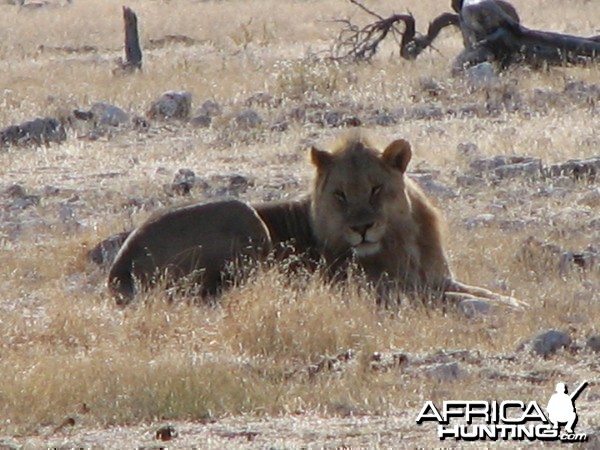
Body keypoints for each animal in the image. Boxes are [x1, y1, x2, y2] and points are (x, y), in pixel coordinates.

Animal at [102, 134, 520, 310]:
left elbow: (485, 292)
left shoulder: (437, 278)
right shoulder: (391, 291)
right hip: (242, 213)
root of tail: (119, 267)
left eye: (375, 189)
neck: (406, 238)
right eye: (340, 195)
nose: (361, 228)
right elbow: (457, 299)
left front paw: (514, 302)